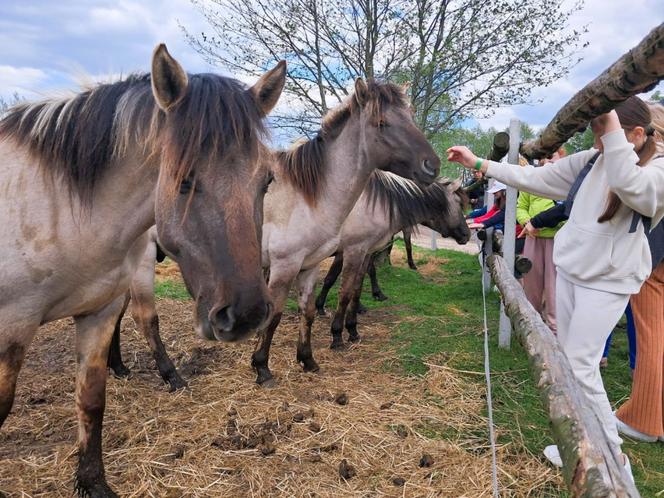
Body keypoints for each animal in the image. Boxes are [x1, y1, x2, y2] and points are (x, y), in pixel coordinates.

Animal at [0, 44, 286, 496]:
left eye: (266, 181)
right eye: (183, 181)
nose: (245, 315)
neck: (59, 207)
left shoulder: (97, 314)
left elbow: (91, 400)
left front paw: (93, 483)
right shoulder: (12, 325)